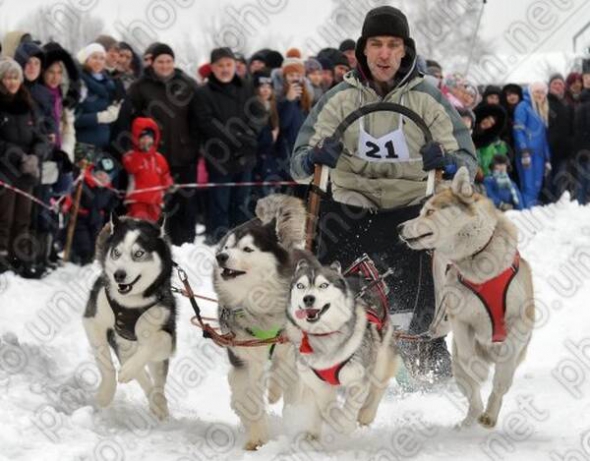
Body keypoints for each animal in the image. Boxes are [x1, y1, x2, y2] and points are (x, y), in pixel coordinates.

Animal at [82, 216, 176, 420]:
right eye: (116, 252)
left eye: (139, 253)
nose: (119, 275)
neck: (130, 303)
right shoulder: (94, 321)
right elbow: (106, 363)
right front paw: (105, 394)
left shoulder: (167, 333)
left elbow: (157, 340)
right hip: (121, 341)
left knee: (157, 379)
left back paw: (158, 402)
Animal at [215, 194, 310, 450]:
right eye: (227, 247)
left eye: (247, 249)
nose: (221, 257)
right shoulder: (243, 355)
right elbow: (248, 397)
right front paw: (256, 436)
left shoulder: (290, 344)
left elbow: (283, 371)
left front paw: (275, 391)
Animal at [286, 255, 400, 438]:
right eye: (300, 286)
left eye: (323, 285)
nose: (308, 298)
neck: (323, 336)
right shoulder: (315, 382)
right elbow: (326, 408)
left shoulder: (358, 380)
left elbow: (345, 414)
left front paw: (344, 425)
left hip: (381, 360)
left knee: (378, 387)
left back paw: (365, 415)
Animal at [402, 166, 536, 428]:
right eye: (421, 211)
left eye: (430, 211)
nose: (399, 227)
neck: (477, 258)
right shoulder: (460, 319)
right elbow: (467, 356)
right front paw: (478, 370)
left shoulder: (522, 318)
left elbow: (507, 353)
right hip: (456, 368)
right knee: (472, 393)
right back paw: (470, 419)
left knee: (500, 386)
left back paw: (489, 415)